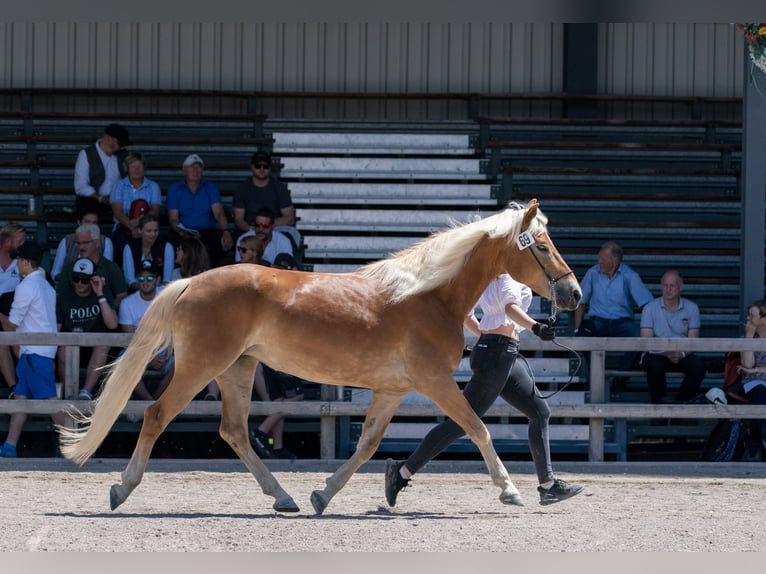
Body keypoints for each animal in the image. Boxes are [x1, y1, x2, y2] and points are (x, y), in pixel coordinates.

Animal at [58, 199, 584, 516]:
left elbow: (367, 446)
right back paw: (122, 488)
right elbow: (476, 428)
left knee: (234, 431)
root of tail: (191, 281)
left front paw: (323, 494)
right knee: (156, 415)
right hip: (200, 367)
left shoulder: (391, 391)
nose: (574, 294)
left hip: (237, 369)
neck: (428, 296)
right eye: (540, 246)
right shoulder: (434, 383)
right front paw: (510, 490)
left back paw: (285, 497)